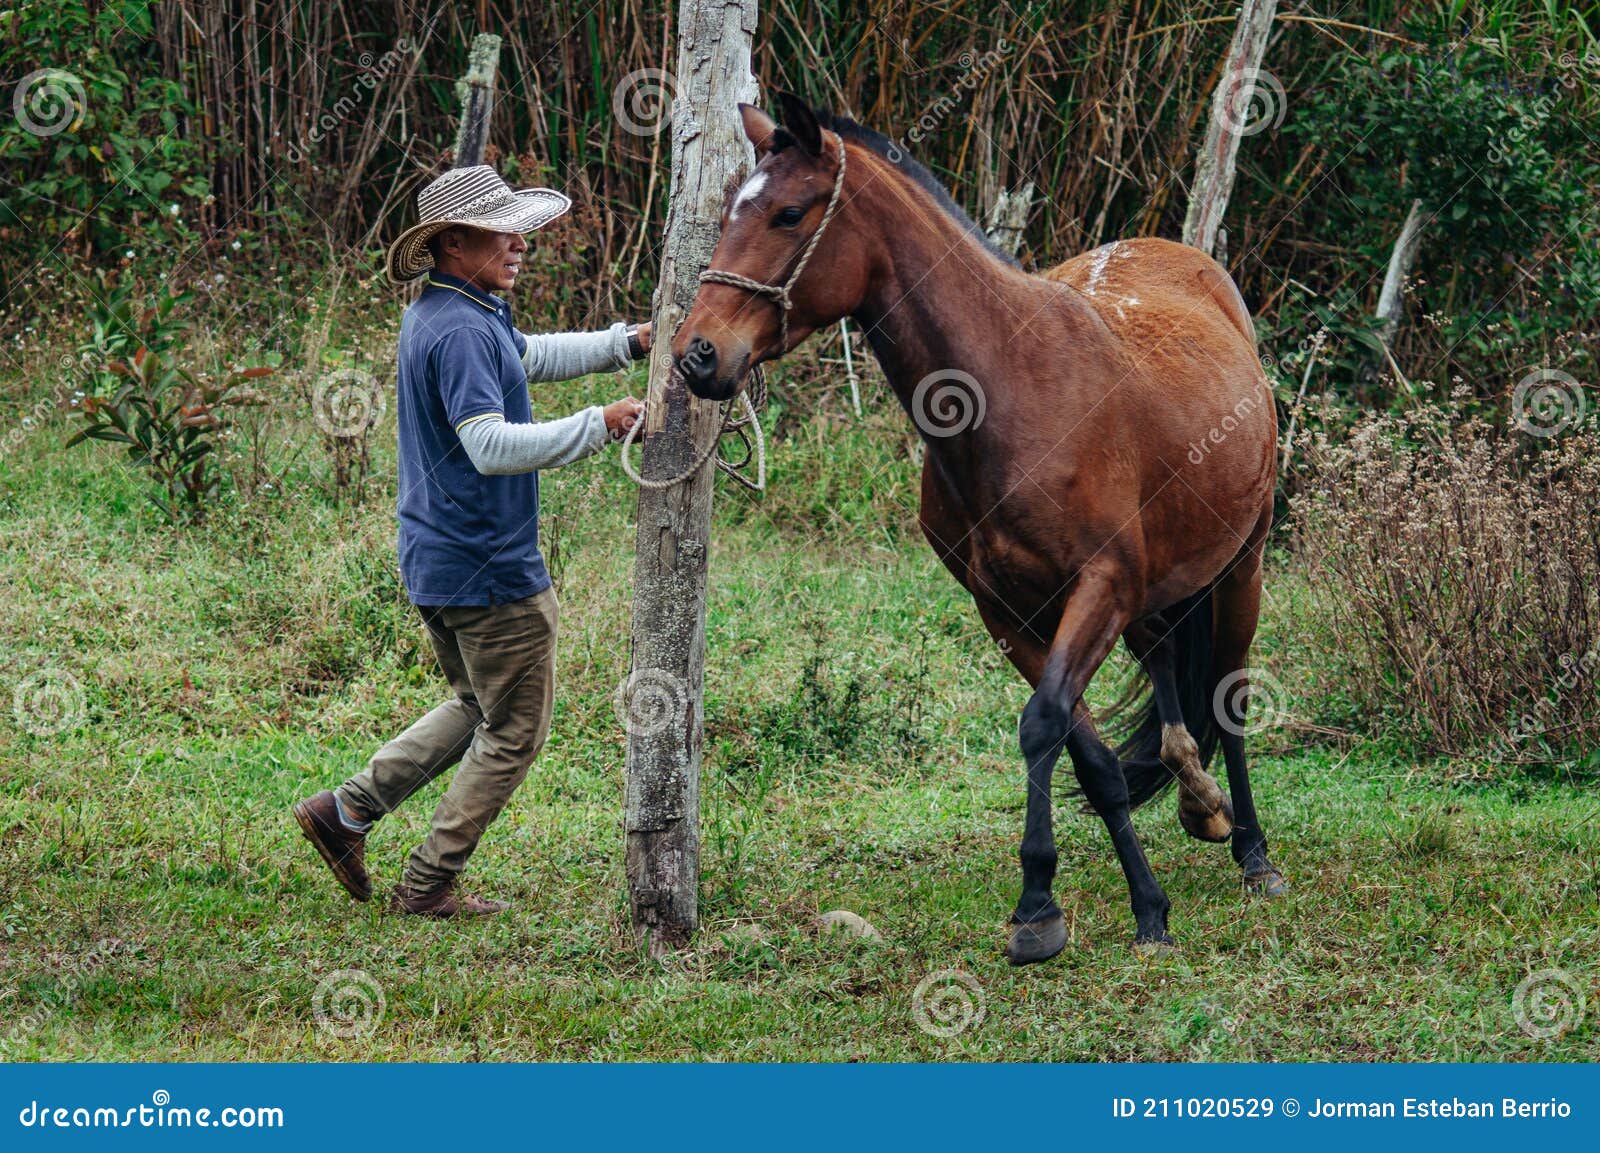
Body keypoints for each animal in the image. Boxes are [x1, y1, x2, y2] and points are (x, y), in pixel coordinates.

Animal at [671, 92, 1284, 964]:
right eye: (727, 210)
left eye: (788, 213)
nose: (697, 355)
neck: (1008, 388)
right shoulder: (1006, 610)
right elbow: (1087, 754)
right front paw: (1128, 904)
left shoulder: (1099, 588)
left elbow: (1045, 725)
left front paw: (1040, 904)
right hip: (1159, 582)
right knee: (1167, 659)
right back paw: (1196, 793)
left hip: (1241, 564)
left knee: (1228, 693)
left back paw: (1254, 851)